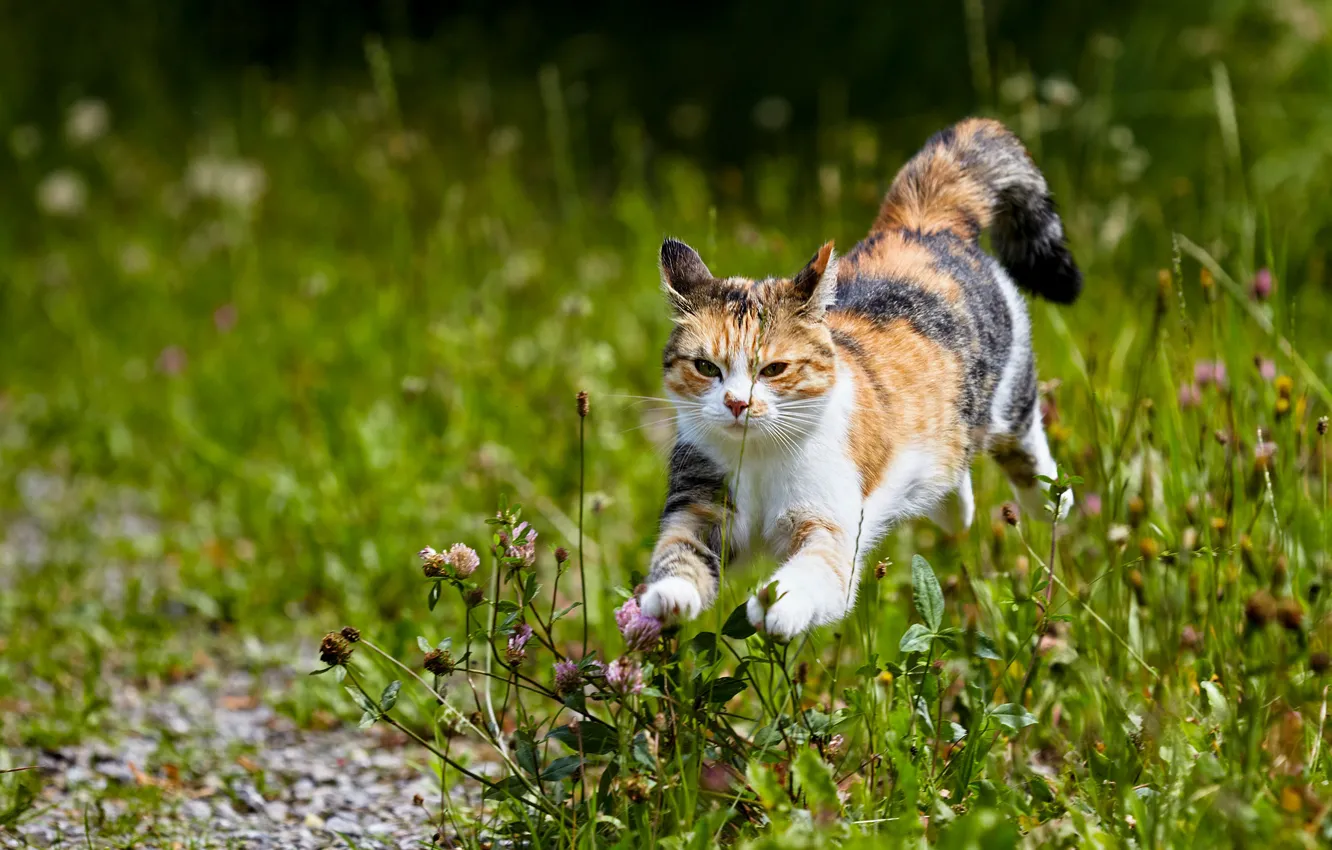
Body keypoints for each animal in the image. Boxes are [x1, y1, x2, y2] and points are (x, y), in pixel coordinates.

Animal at [636, 118, 1081, 639]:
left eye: (774, 369)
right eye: (707, 367)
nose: (737, 404)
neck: (760, 457)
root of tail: (921, 223)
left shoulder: (830, 522)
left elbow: (816, 568)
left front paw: (777, 604)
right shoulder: (699, 503)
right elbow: (680, 551)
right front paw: (668, 596)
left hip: (1008, 396)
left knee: (1024, 444)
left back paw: (1051, 500)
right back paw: (954, 508)